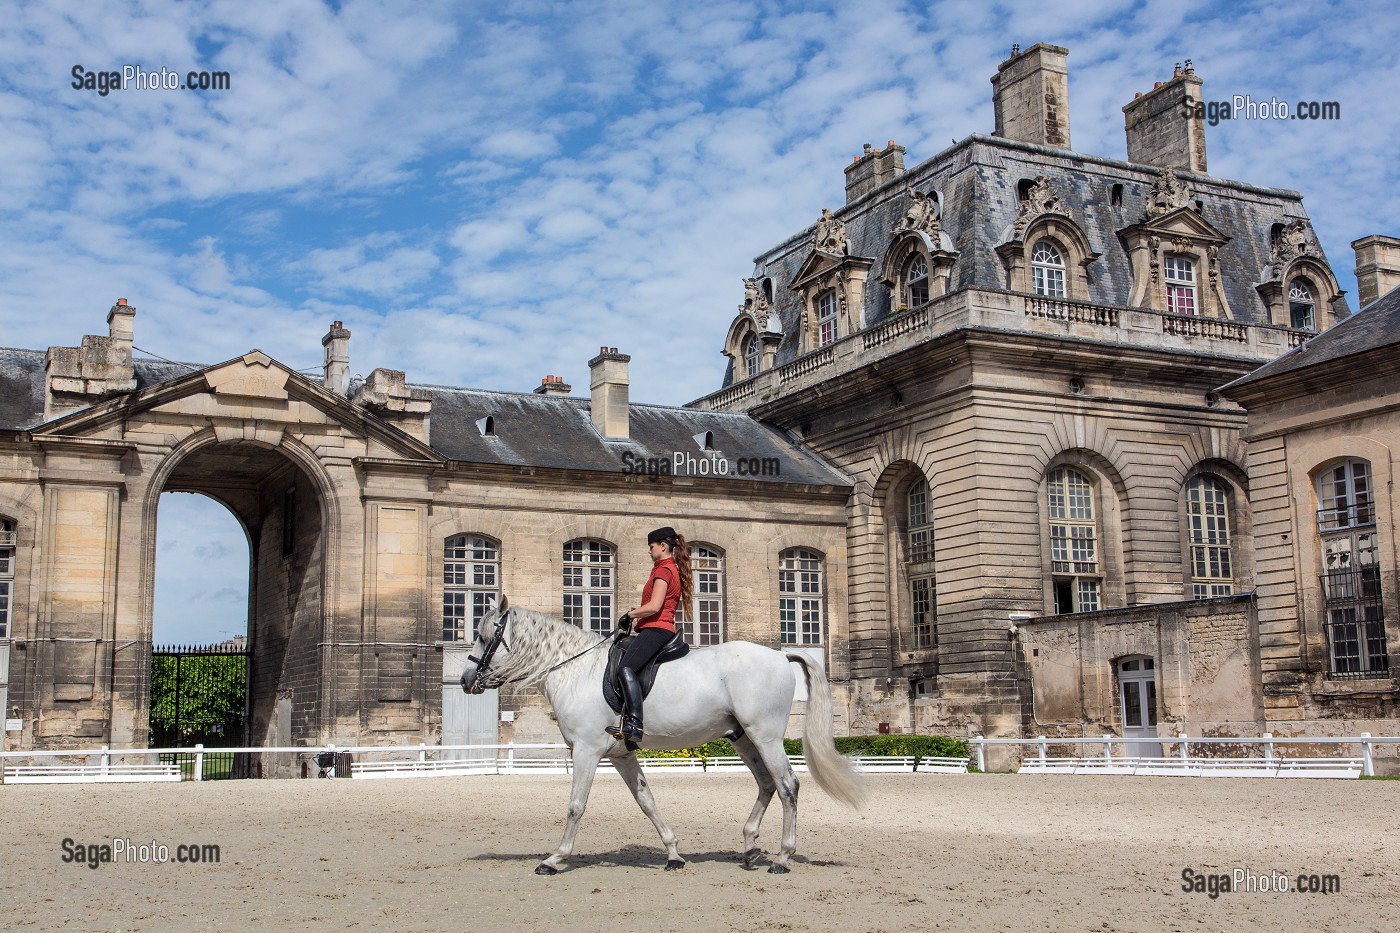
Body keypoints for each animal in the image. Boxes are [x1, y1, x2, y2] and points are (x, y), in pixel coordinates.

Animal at [462, 596, 862, 874]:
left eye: (484, 637)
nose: (466, 681)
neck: (575, 670)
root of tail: (780, 655)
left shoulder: (586, 751)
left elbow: (576, 805)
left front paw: (555, 859)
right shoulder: (621, 754)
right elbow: (646, 801)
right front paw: (673, 854)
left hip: (765, 736)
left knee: (787, 785)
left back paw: (782, 857)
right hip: (743, 737)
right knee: (766, 783)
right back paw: (750, 848)